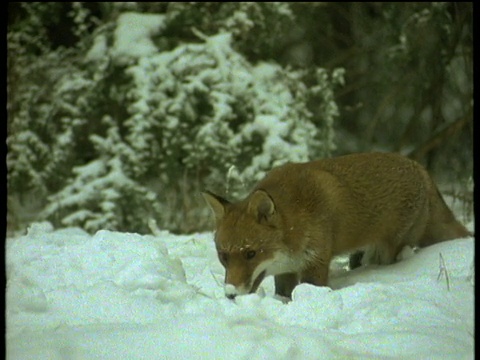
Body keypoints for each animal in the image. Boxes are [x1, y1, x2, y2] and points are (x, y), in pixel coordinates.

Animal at [203, 152, 472, 298]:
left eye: (251, 254)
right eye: (223, 256)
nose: (230, 295)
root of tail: (419, 167)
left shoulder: (315, 263)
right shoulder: (287, 269)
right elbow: (284, 294)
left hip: (386, 250)